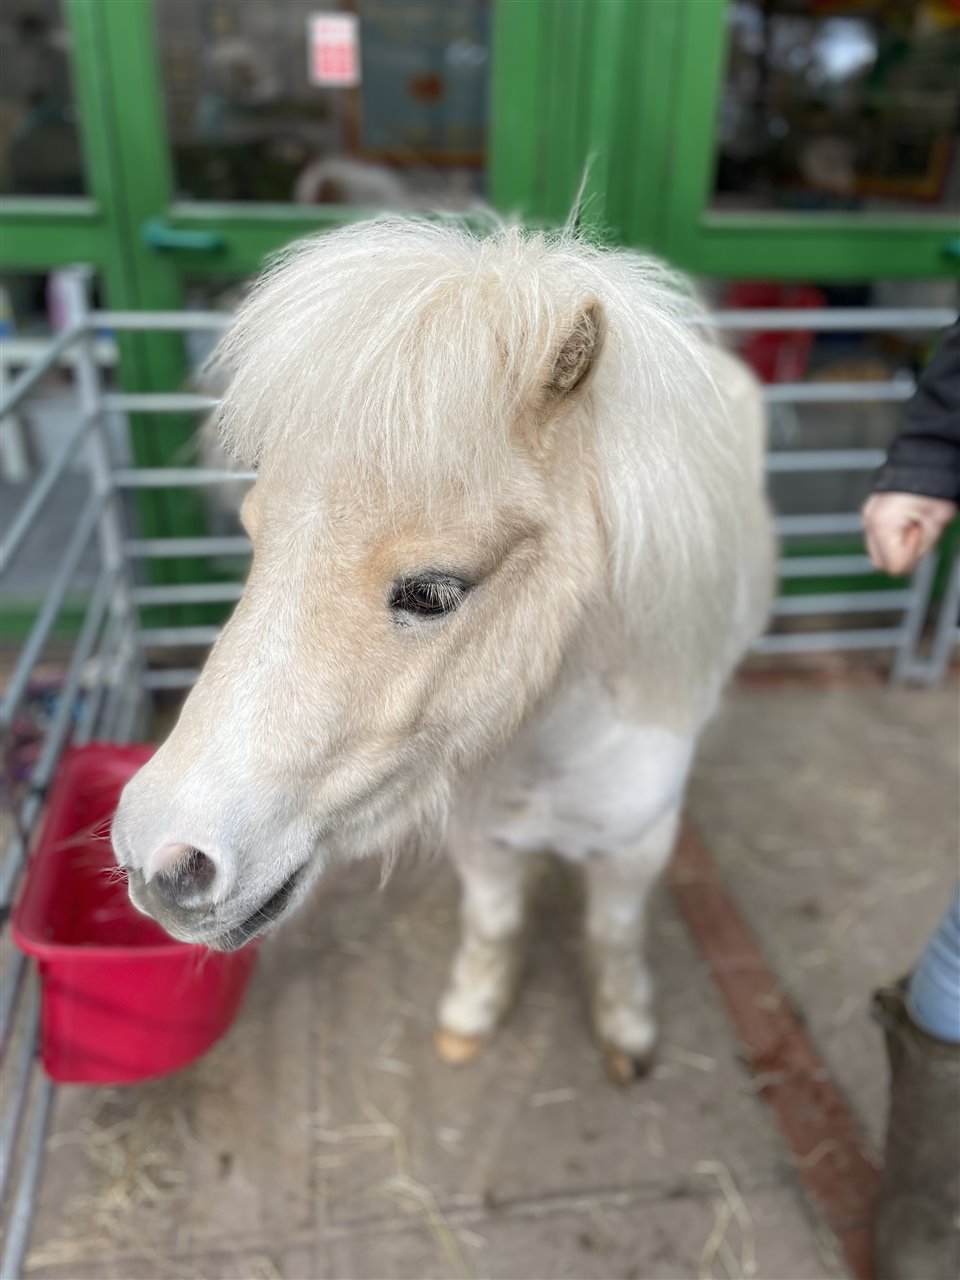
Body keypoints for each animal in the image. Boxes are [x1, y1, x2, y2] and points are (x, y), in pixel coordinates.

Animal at [113, 216, 775, 1080]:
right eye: (256, 536)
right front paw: (471, 1016)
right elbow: (494, 924)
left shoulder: (632, 853)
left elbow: (614, 935)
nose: (161, 861)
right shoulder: (481, 840)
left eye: (433, 593)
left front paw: (626, 1028)